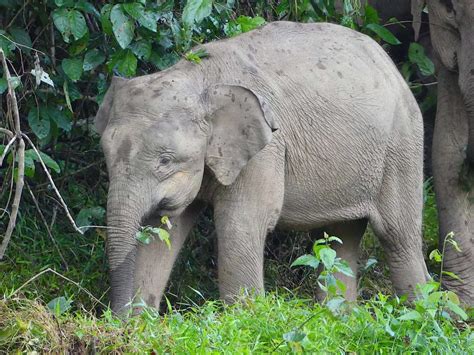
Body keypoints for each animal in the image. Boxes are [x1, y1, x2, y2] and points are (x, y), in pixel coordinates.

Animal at [95, 21, 430, 314]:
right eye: (107, 158)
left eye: (165, 161)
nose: (116, 318)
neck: (200, 76)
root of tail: (392, 66)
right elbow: (162, 231)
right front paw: (138, 326)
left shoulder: (267, 148)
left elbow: (240, 224)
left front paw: (246, 318)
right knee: (340, 237)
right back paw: (340, 319)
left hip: (402, 144)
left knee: (397, 235)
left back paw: (423, 314)